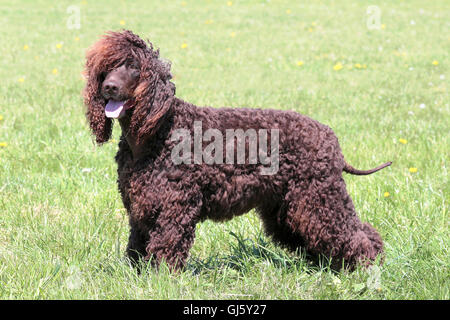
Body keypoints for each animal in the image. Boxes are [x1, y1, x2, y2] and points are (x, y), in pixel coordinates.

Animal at [83, 30, 390, 272]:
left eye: (133, 67)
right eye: (106, 69)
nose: (109, 87)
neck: (155, 132)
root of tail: (330, 137)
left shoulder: (174, 208)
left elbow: (166, 247)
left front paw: (161, 279)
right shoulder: (141, 208)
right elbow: (136, 247)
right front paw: (137, 276)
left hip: (319, 197)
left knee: (356, 234)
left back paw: (367, 267)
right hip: (287, 208)